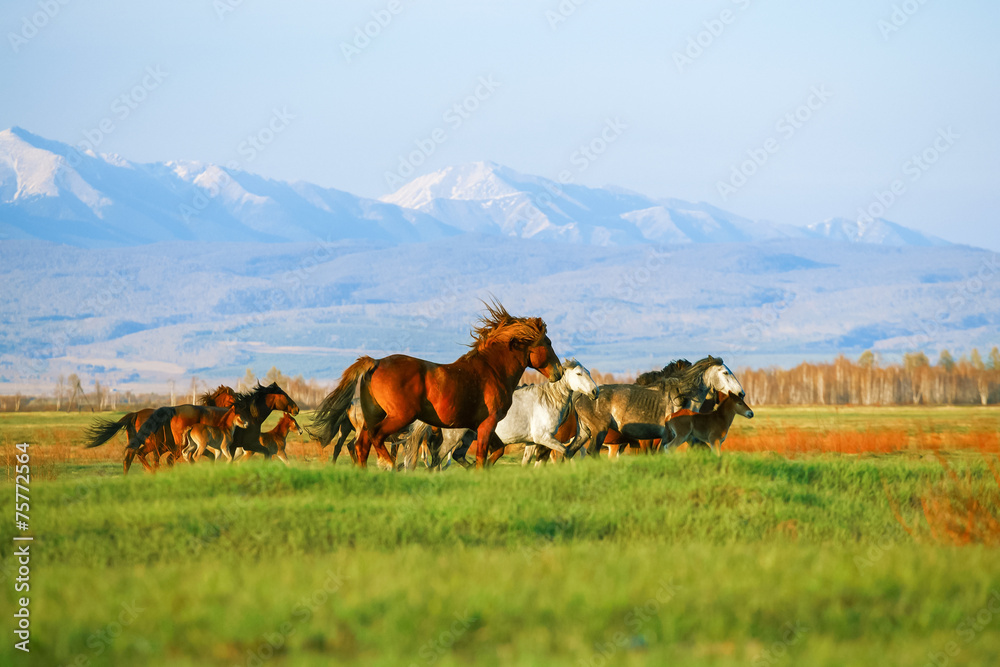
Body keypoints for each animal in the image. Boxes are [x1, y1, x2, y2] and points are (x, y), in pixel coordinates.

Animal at [310, 300, 562, 469]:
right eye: (548, 343)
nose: (558, 372)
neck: (492, 370)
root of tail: (376, 362)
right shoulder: (487, 423)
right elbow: (482, 456)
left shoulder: (481, 425)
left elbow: (496, 451)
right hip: (399, 416)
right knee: (375, 438)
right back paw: (387, 464)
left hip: (374, 416)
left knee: (361, 446)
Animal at [571, 356, 745, 458]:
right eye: (725, 372)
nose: (741, 393)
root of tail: (582, 395)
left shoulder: (684, 436)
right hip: (599, 431)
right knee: (590, 452)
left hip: (585, 433)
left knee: (569, 452)